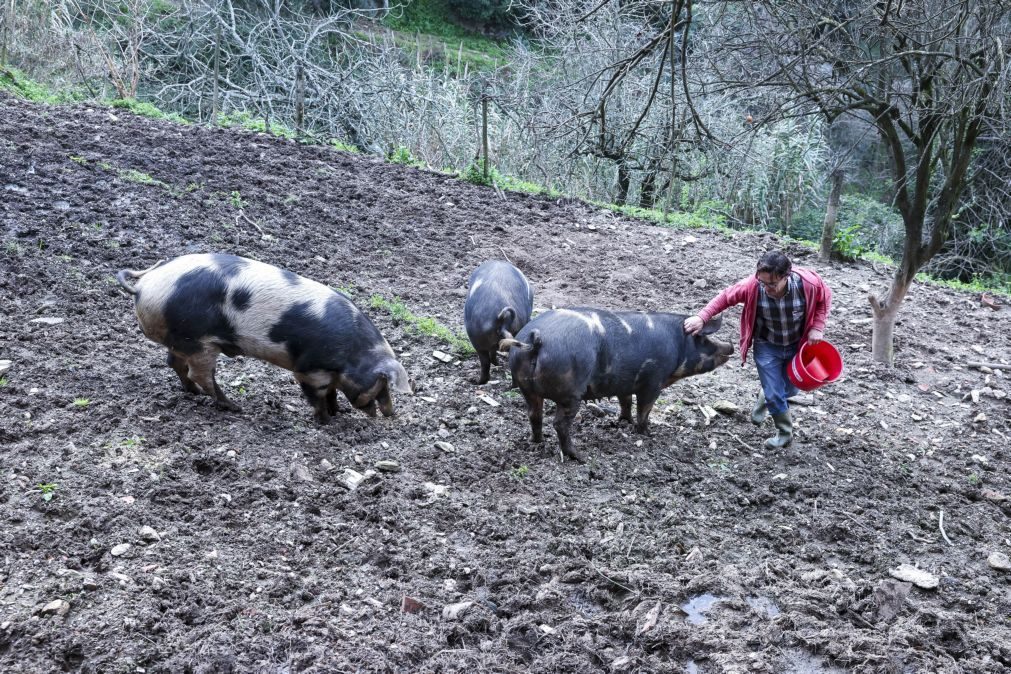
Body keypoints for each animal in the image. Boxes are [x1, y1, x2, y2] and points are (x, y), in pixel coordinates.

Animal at [112, 255, 408, 424]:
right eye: (381, 383)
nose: (390, 413)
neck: (352, 356)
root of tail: (144, 285)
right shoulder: (308, 369)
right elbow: (318, 395)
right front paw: (327, 421)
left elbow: (333, 392)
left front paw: (339, 412)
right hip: (200, 342)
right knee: (201, 375)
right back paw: (234, 407)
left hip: (184, 339)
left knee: (175, 363)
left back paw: (193, 393)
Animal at [501, 309, 731, 464]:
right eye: (703, 339)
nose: (730, 346)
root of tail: (535, 338)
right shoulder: (653, 382)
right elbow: (644, 410)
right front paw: (647, 433)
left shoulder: (625, 383)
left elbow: (625, 402)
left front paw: (623, 421)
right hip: (570, 393)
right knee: (559, 424)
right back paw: (579, 457)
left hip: (526, 388)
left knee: (534, 415)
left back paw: (537, 441)